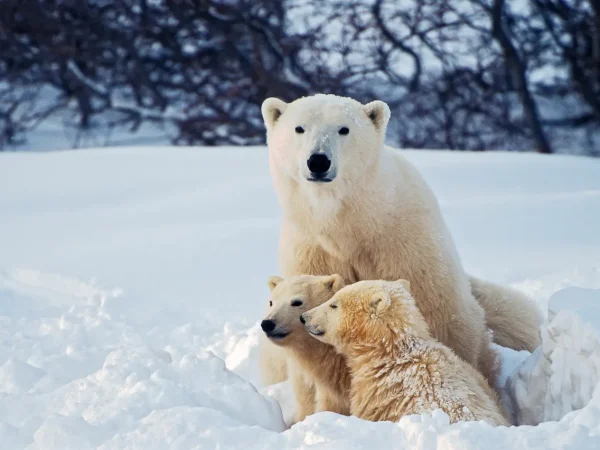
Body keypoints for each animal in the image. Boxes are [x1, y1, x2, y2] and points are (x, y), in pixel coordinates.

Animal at [260, 92, 540, 386]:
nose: (318, 161)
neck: (349, 224)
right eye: (299, 128)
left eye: (343, 129)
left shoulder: (402, 240)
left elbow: (439, 312)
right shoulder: (311, 249)